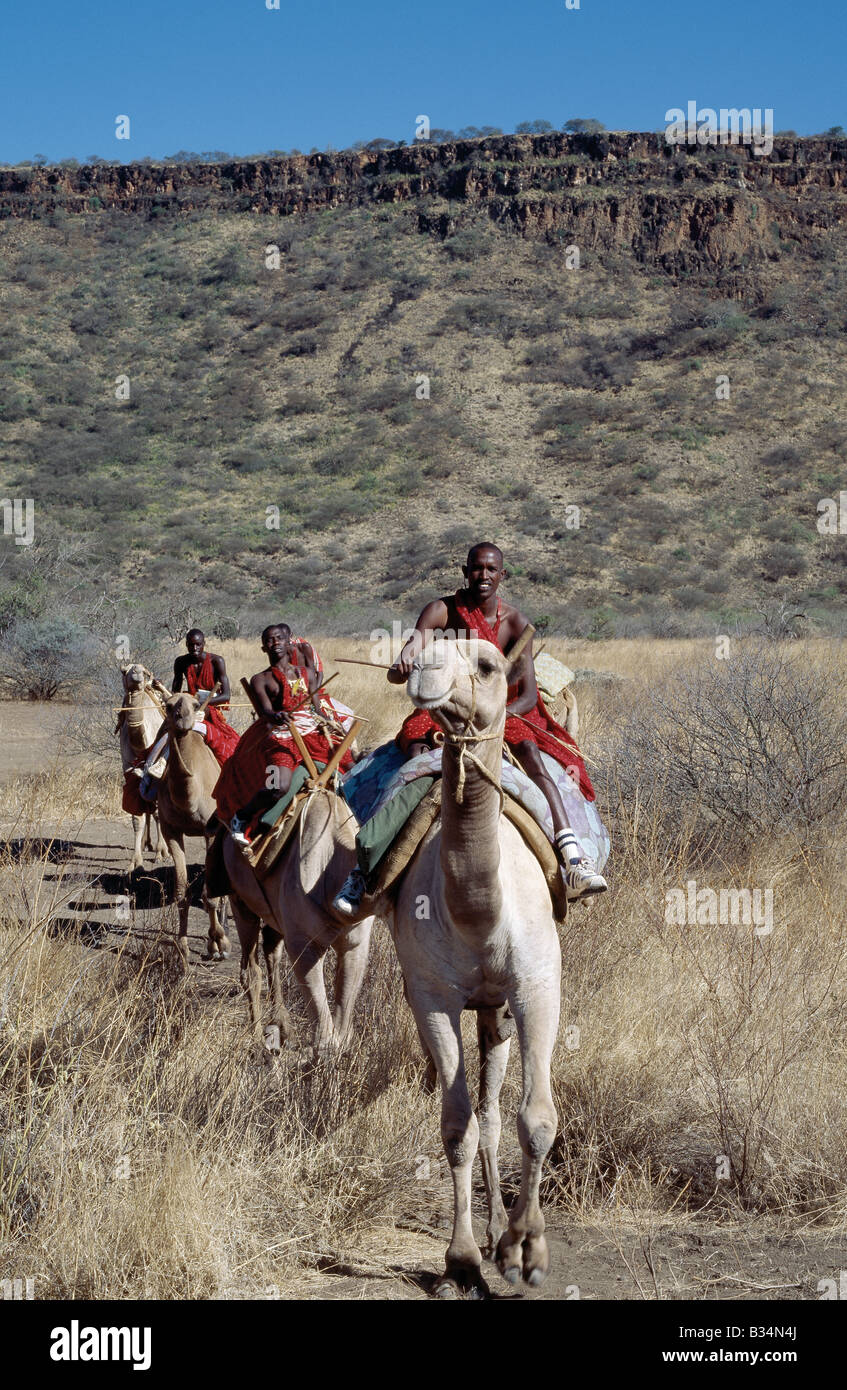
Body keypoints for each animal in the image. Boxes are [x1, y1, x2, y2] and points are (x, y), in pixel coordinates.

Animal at [157, 686, 229, 967]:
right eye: (168, 705)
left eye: (196, 703)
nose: (182, 719)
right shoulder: (170, 830)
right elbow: (181, 893)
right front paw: (183, 951)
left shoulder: (212, 830)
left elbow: (209, 895)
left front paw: (219, 943)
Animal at [222, 789, 372, 1045]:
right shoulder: (304, 945)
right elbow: (325, 1035)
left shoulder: (355, 943)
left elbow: (342, 1032)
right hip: (240, 902)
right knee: (250, 968)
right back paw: (256, 1036)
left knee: (271, 949)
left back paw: (284, 1027)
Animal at [389, 639, 561, 1301]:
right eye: (413, 651)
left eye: (488, 666)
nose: (425, 670)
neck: (479, 915)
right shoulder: (432, 996)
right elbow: (456, 1127)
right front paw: (460, 1261)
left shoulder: (536, 985)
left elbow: (536, 1118)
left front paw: (527, 1249)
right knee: (480, 1117)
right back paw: (485, 1235)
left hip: (499, 1010)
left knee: (496, 1108)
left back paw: (499, 1233)